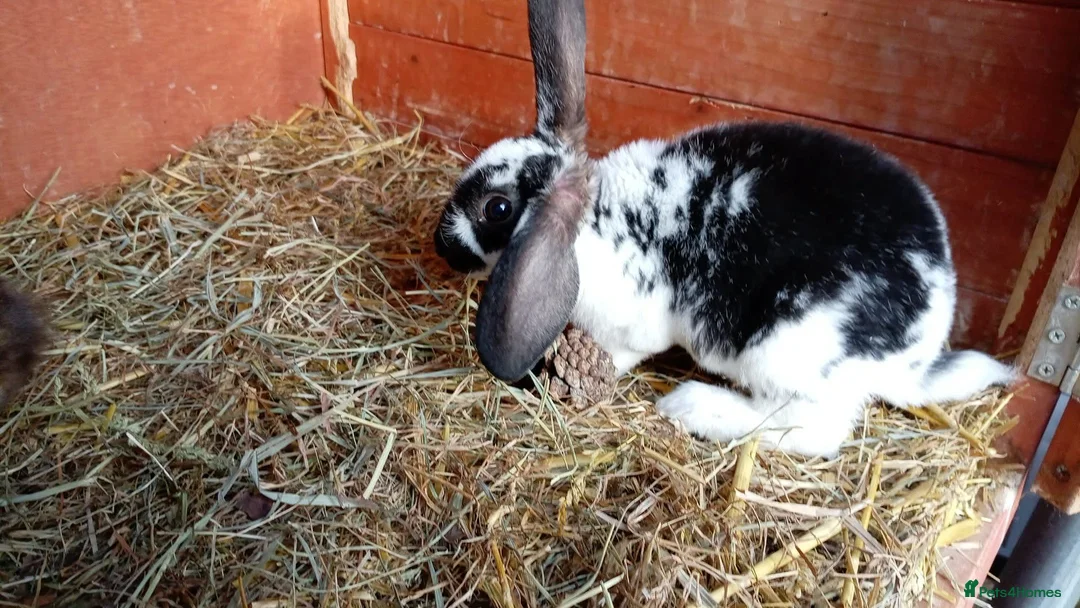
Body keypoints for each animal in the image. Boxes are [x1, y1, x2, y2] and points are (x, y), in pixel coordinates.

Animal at [433, 0, 1017, 457]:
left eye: (496, 209)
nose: (440, 244)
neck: (594, 220)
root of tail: (919, 351)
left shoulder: (629, 329)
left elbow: (621, 354)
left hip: (785, 355)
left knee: (809, 431)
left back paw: (692, 406)